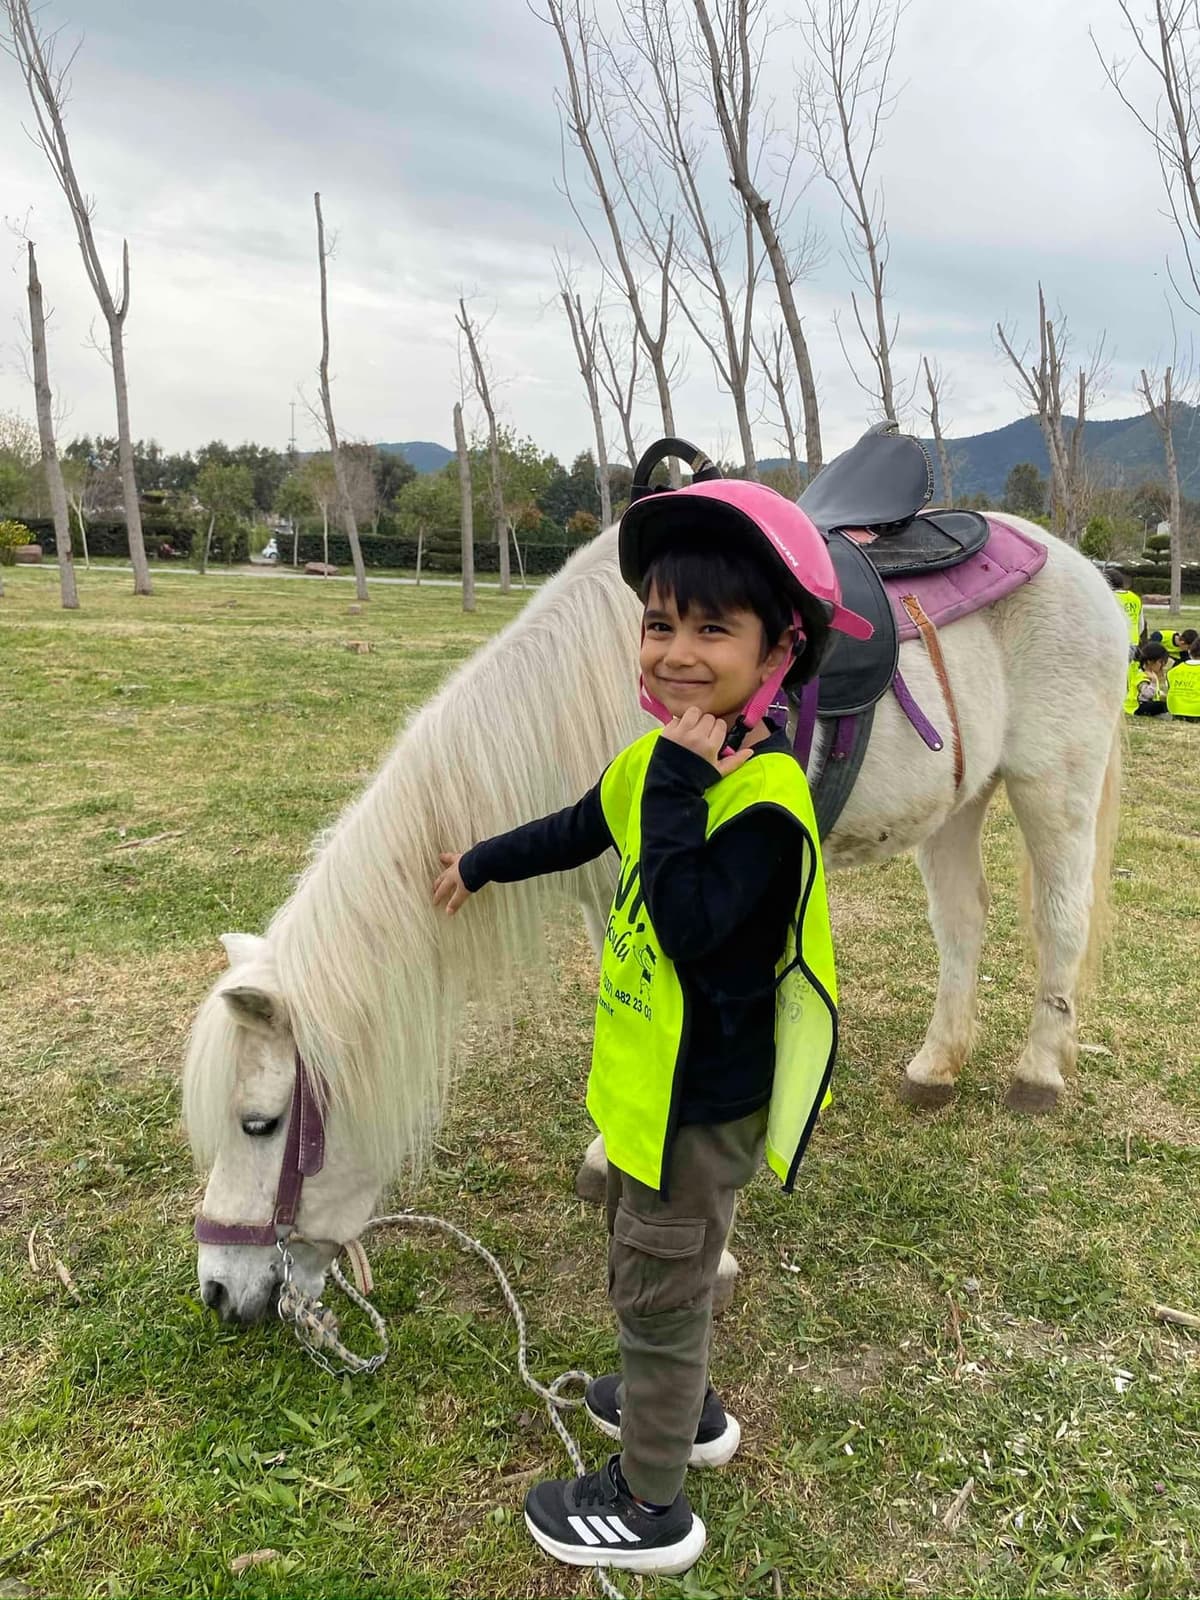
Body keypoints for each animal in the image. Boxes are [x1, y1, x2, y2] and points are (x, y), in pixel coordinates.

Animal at [183, 516, 1126, 1323]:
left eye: (259, 1124)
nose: (219, 1292)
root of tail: (1082, 568)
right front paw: (611, 1158)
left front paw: (705, 1244)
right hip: (960, 803)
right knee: (962, 922)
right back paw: (936, 1066)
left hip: (1054, 786)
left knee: (1061, 922)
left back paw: (1038, 1073)